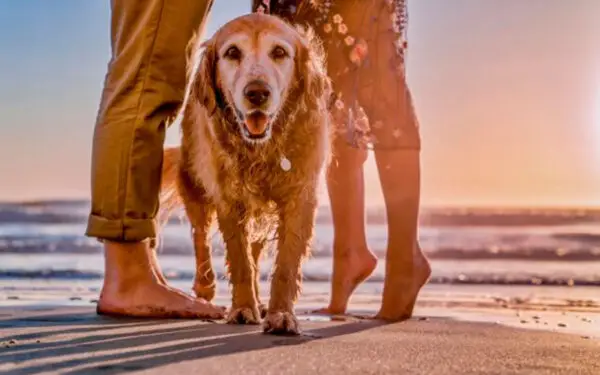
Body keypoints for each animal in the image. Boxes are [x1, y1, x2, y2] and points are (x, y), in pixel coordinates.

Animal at [159, 13, 330, 334]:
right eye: (232, 53)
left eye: (279, 52)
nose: (257, 93)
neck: (262, 148)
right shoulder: (229, 199)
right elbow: (239, 259)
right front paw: (242, 309)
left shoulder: (301, 196)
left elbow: (285, 264)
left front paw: (281, 314)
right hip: (194, 182)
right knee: (200, 235)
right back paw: (205, 288)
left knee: (255, 248)